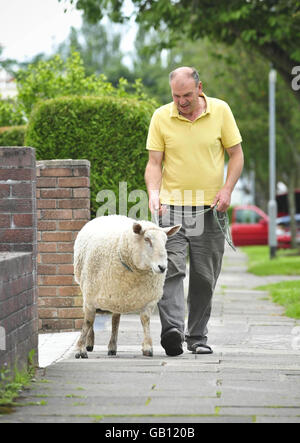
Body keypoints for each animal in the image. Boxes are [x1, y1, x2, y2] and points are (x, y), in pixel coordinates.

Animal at [73, 216, 180, 360]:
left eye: (165, 241)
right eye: (147, 239)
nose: (162, 267)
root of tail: (109, 216)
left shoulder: (149, 299)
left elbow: (145, 320)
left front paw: (148, 347)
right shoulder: (90, 296)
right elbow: (88, 321)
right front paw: (80, 349)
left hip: (118, 297)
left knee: (115, 321)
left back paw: (112, 347)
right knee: (94, 319)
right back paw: (90, 343)